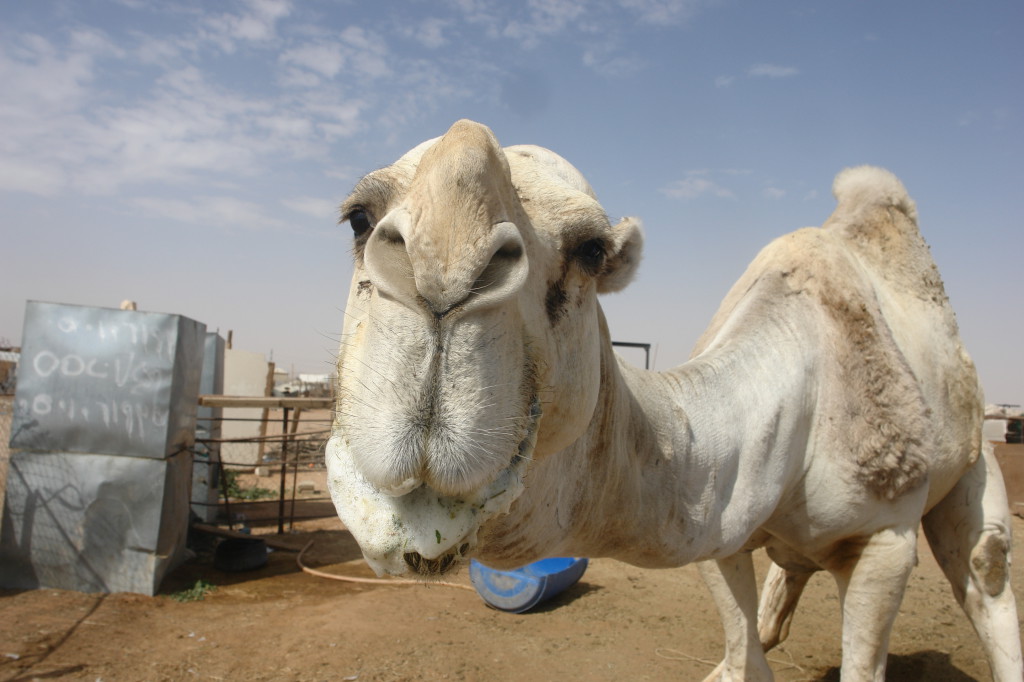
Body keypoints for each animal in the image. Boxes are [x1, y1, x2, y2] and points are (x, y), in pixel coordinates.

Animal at [323, 119, 1019, 675]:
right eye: (359, 217)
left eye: (591, 250)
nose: (440, 273)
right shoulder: (725, 525)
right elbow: (745, 656)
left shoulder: (886, 538)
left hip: (972, 465)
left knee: (986, 571)